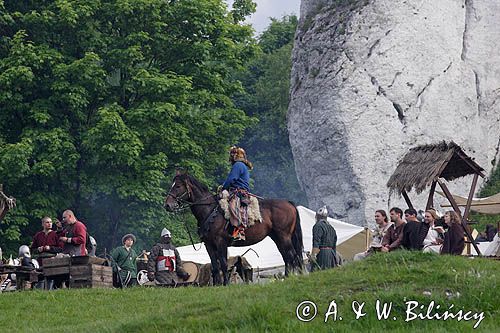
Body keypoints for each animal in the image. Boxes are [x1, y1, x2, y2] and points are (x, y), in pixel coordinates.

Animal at [166, 172, 302, 284]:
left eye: (178, 186)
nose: (167, 205)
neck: (210, 211)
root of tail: (289, 203)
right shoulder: (209, 244)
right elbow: (215, 266)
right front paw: (217, 285)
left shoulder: (221, 243)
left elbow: (223, 264)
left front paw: (226, 284)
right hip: (277, 237)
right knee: (287, 256)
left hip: (283, 236)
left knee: (291, 255)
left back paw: (289, 277)